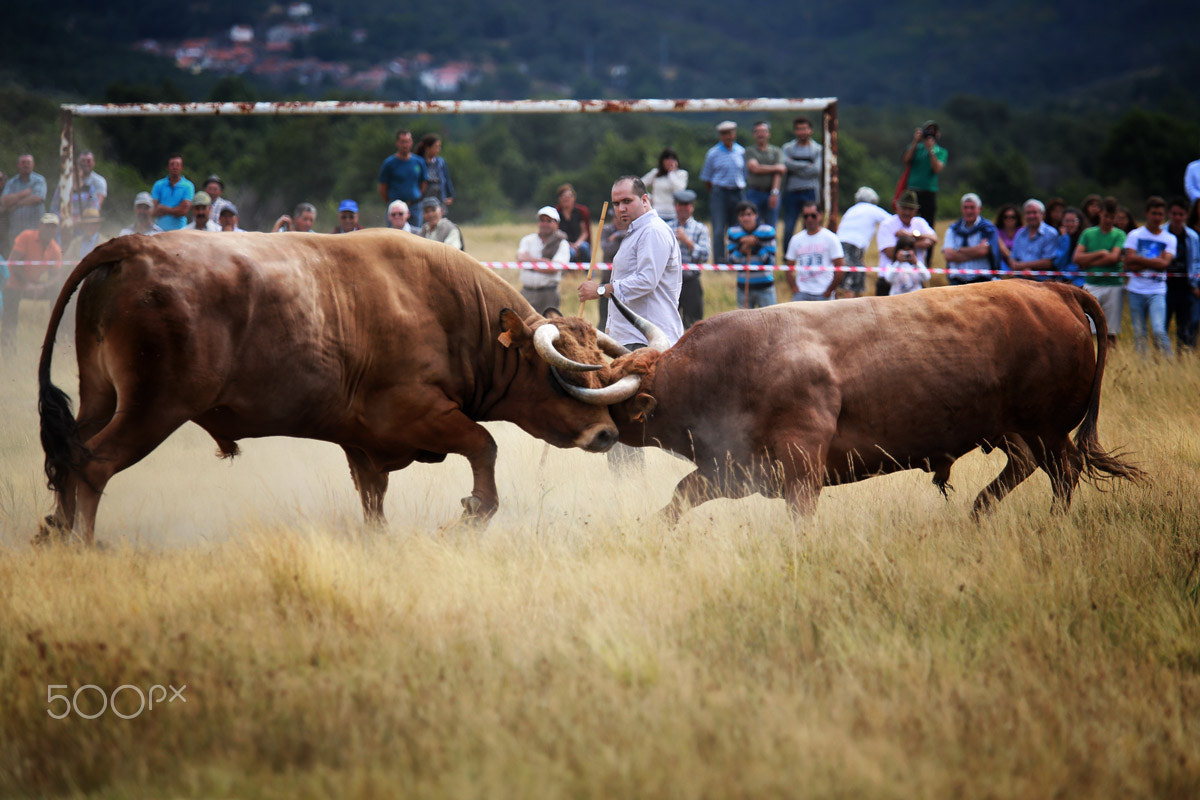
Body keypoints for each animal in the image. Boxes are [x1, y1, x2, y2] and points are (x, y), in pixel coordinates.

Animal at [35, 230, 638, 544]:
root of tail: (130, 246)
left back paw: (55, 532)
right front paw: (469, 514)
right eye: (565, 372)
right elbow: (484, 449)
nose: (607, 433)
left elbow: (373, 501)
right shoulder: (417, 414)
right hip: (152, 410)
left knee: (68, 456)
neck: (441, 306)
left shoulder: (363, 443)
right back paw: (83, 543)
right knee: (93, 464)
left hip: (102, 397)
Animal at [571, 280, 1142, 520]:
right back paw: (978, 513)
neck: (729, 365)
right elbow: (677, 500)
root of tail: (1055, 290)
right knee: (1024, 466)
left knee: (1063, 472)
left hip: (1046, 428)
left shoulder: (802, 469)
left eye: (613, 400)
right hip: (1010, 429)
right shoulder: (734, 470)